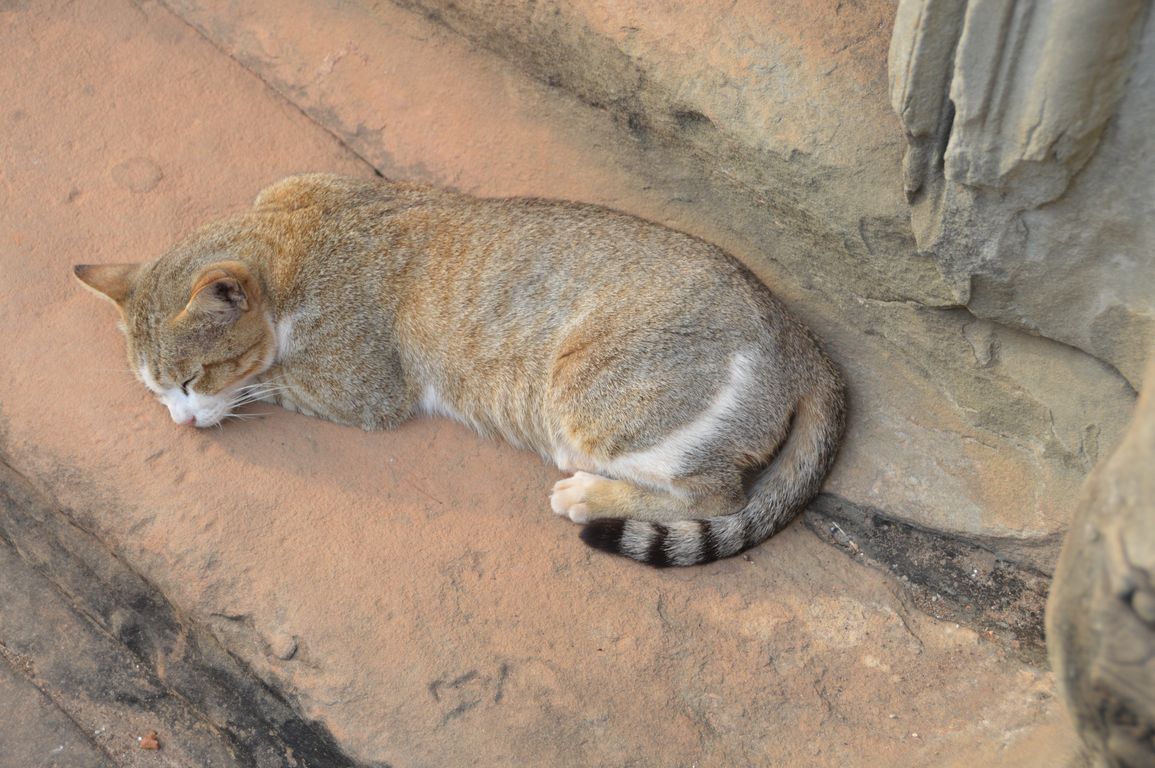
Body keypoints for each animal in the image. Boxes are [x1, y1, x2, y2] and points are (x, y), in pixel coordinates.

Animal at [74, 173, 846, 566]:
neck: (293, 234)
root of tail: (798, 336)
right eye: (156, 389)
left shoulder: (364, 389)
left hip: (593, 395)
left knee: (719, 493)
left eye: (190, 380)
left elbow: (273, 380)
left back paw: (590, 494)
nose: (180, 420)